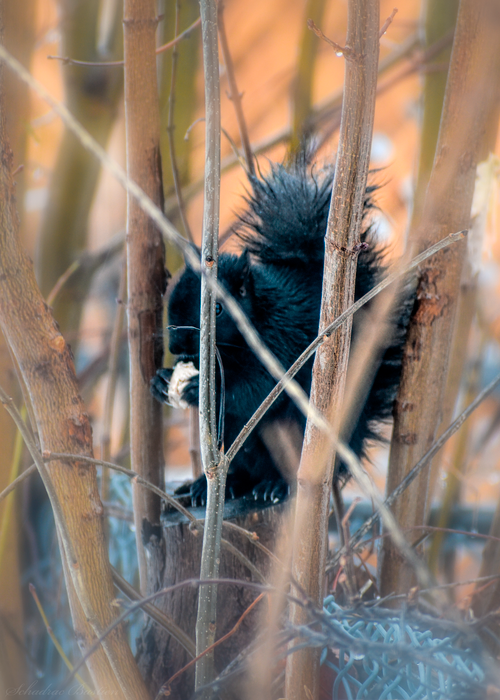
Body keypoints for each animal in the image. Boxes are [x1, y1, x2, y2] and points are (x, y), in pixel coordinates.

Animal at [151, 152, 413, 506]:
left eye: (217, 309)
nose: (177, 347)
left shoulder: (283, 342)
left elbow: (256, 390)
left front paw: (199, 389)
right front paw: (162, 380)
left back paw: (275, 486)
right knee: (243, 469)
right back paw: (209, 486)